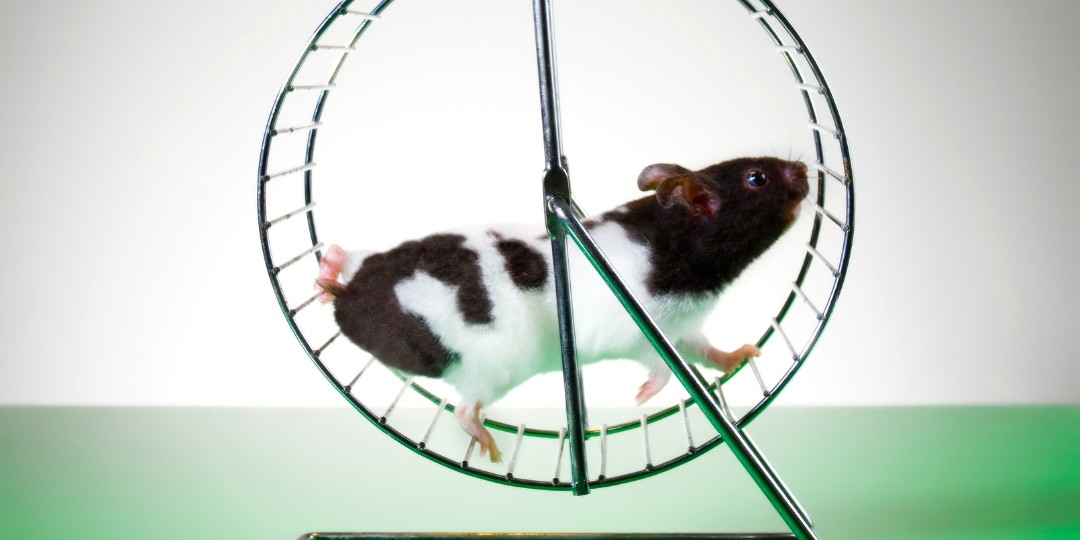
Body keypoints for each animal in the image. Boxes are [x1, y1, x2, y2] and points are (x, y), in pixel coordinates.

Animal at [316, 157, 809, 463]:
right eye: (756, 178)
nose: (805, 168)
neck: (675, 245)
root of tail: (352, 308)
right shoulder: (644, 334)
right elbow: (664, 372)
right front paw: (639, 398)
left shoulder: (683, 330)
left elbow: (709, 353)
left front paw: (748, 354)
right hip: (492, 370)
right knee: (463, 411)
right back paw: (492, 449)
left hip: (376, 262)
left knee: (347, 258)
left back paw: (326, 273)